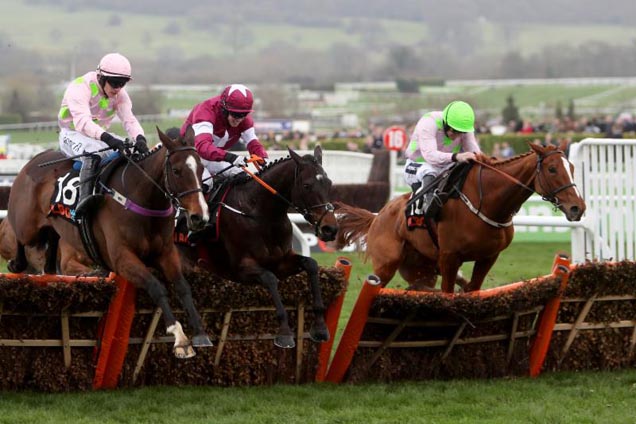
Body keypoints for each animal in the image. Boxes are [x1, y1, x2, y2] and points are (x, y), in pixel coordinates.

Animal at [5, 128, 214, 358]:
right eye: (176, 171)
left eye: (201, 168)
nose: (199, 217)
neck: (141, 198)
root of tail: (33, 161)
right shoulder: (122, 258)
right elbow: (156, 286)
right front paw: (179, 338)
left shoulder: (166, 253)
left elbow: (183, 286)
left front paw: (200, 333)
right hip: (28, 227)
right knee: (20, 237)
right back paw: (16, 264)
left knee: (52, 241)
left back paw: (49, 270)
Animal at [179, 146, 338, 348]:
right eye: (307, 186)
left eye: (329, 183)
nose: (330, 229)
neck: (261, 214)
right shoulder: (240, 269)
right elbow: (270, 279)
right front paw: (285, 333)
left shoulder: (281, 263)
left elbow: (311, 264)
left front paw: (320, 327)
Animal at [338, 141, 588, 294]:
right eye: (552, 169)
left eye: (571, 167)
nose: (578, 207)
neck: (488, 202)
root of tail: (377, 217)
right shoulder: (449, 257)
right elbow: (448, 292)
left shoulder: (489, 257)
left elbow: (471, 288)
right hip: (386, 264)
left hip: (421, 268)